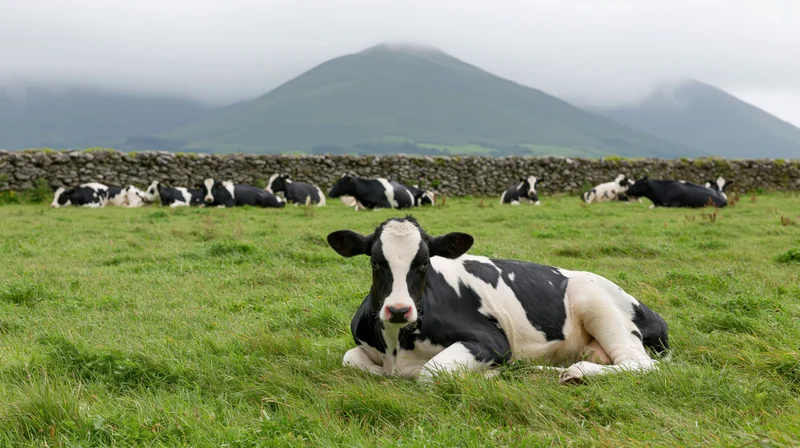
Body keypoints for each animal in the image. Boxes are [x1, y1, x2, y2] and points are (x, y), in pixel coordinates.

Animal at [327, 217, 669, 384]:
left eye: (424, 262)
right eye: (375, 262)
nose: (398, 310)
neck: (396, 346)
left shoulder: (492, 341)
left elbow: (429, 371)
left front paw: (490, 374)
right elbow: (350, 359)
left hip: (597, 303)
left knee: (642, 364)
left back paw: (576, 373)